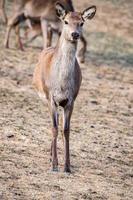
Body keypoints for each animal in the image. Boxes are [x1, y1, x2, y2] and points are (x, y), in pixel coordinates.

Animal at [32, 1, 96, 172]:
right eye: (66, 21)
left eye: (82, 23)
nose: (75, 34)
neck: (61, 84)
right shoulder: (51, 97)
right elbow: (54, 128)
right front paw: (54, 165)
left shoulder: (70, 100)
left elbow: (66, 130)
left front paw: (67, 166)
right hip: (46, 99)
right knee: (52, 125)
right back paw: (50, 158)